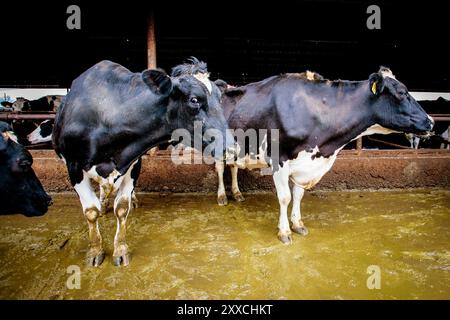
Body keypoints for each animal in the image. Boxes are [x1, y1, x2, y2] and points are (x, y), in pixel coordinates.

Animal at [53, 58, 236, 268]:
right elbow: (91, 211)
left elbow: (122, 208)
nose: (233, 148)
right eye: (194, 100)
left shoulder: (134, 162)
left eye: (220, 99)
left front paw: (120, 250)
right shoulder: (73, 165)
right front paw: (95, 251)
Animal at [216, 66, 434, 244]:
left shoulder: (304, 163)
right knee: (219, 168)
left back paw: (237, 193)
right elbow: (285, 197)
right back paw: (222, 197)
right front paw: (284, 232)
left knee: (233, 166)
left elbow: (298, 195)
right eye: (402, 92)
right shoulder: (279, 159)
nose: (431, 121)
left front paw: (298, 224)